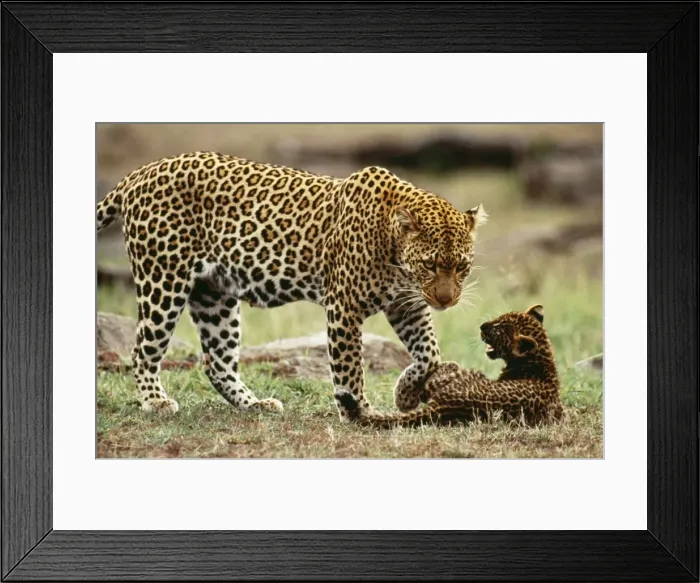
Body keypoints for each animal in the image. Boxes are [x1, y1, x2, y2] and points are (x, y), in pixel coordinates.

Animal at [96, 151, 487, 419]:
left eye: (461, 267)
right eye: (430, 264)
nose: (446, 300)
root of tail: (141, 172)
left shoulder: (407, 304)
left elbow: (430, 353)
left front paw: (405, 394)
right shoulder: (344, 306)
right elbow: (350, 368)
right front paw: (359, 413)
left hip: (214, 294)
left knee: (217, 361)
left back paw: (255, 404)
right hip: (162, 280)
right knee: (143, 350)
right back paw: (154, 401)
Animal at [338, 304, 565, 428]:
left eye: (499, 329)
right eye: (498, 318)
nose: (482, 326)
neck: (542, 362)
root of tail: (445, 404)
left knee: (436, 377)